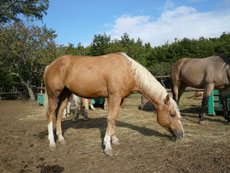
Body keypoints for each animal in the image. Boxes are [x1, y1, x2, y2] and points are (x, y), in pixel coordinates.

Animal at [44, 52, 184, 155]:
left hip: (64, 95)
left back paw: (61, 138)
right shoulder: (114, 97)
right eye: (172, 114)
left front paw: (114, 139)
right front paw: (107, 146)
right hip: (53, 95)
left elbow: (114, 119)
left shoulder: (119, 99)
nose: (181, 134)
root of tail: (50, 66)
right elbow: (110, 119)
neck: (129, 70)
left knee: (59, 114)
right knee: (50, 115)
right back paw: (52, 143)